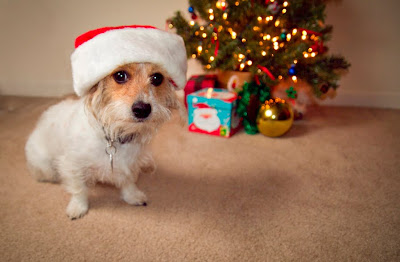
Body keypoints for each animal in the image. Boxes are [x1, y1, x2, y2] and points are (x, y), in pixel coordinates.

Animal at [25, 26, 188, 219]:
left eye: (157, 78)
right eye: (120, 75)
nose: (142, 109)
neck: (114, 135)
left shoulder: (131, 165)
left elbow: (128, 182)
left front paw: (132, 196)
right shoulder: (73, 166)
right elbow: (79, 189)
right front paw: (78, 208)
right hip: (45, 165)